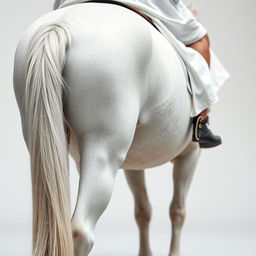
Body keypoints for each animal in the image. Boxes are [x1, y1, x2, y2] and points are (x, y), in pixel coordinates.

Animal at [14, 2, 201, 256]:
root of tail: (61, 26)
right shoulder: (190, 154)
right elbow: (178, 211)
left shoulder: (134, 164)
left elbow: (143, 210)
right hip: (104, 153)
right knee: (81, 231)